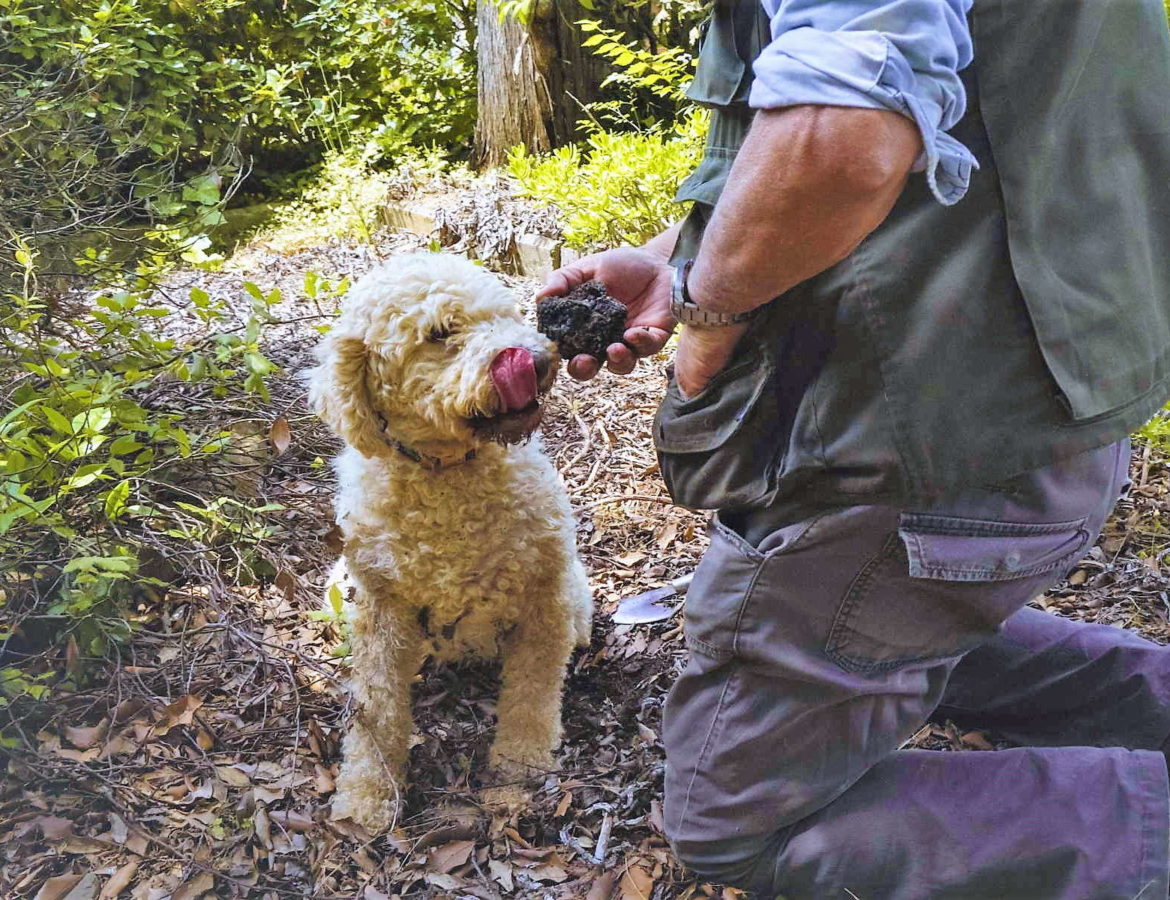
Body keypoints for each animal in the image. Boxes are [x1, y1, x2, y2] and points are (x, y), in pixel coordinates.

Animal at [308, 250, 594, 828]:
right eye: (440, 333)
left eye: (507, 313)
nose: (534, 359)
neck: (449, 475)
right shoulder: (380, 610)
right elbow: (376, 708)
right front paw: (367, 794)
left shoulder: (544, 595)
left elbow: (531, 695)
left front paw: (519, 770)